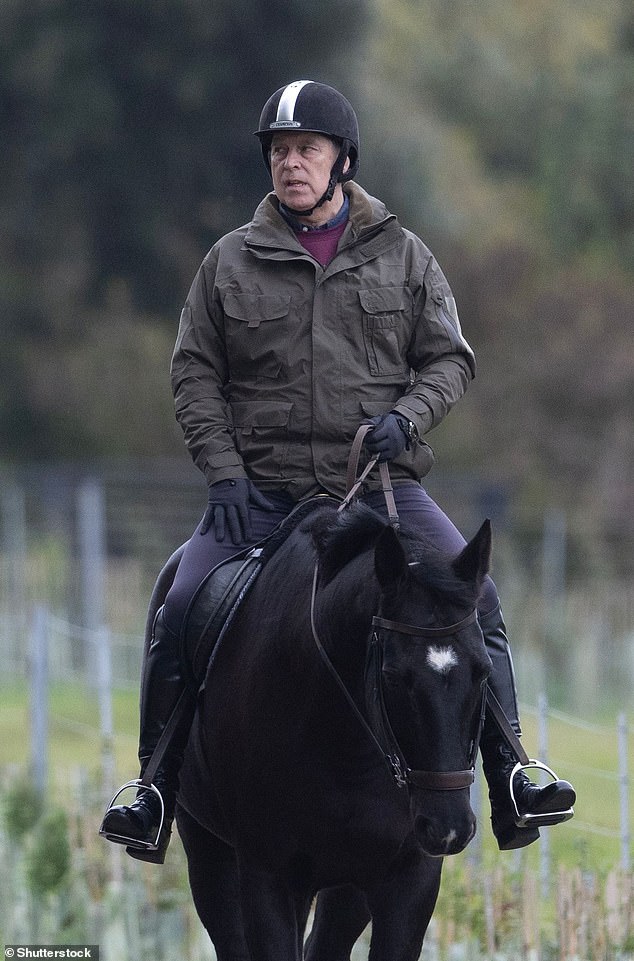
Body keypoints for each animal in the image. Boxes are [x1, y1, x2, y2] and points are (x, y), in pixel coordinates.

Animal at [172, 498, 488, 956]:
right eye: (393, 676)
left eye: (483, 671)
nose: (448, 829)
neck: (344, 743)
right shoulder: (270, 878)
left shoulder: (409, 880)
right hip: (206, 850)